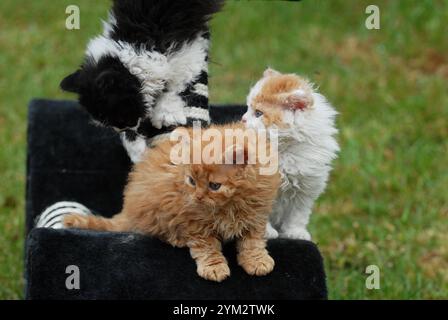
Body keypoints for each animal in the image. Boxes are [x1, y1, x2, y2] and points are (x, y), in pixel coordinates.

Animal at [60, 0, 224, 161]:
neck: (133, 42)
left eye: (121, 117)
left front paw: (166, 113)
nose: (130, 126)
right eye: (118, 124)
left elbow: (175, 79)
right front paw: (138, 153)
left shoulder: (185, 43)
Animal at [63, 124, 280, 282]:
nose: (198, 197)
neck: (229, 205)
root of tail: (127, 210)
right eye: (191, 181)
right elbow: (207, 247)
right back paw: (178, 239)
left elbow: (253, 242)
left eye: (214, 186)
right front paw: (214, 268)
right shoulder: (193, 220)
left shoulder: (255, 214)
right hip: (158, 207)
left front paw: (257, 261)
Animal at [243, 69, 338, 241]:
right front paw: (266, 232)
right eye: (247, 108)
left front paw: (296, 233)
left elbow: (298, 215)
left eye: (258, 113)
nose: (243, 119)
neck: (284, 151)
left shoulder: (306, 188)